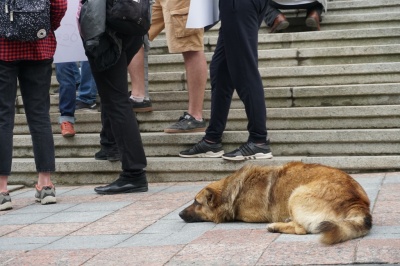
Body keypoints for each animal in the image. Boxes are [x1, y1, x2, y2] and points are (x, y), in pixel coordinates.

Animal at [178, 161, 372, 244]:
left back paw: (275, 226)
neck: (232, 189)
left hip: (296, 194)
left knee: (302, 229)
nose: (179, 214)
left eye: (196, 202)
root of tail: (357, 201)